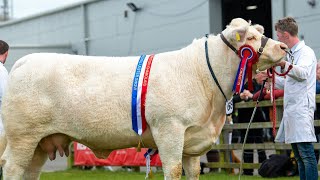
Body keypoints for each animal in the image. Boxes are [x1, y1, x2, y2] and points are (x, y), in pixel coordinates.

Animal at [0, 17, 286, 179]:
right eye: (251, 37)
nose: (283, 47)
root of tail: (26, 60)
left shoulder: (192, 139)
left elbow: (192, 171)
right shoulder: (170, 129)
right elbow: (173, 170)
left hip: (40, 143)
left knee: (29, 172)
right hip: (23, 137)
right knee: (12, 169)